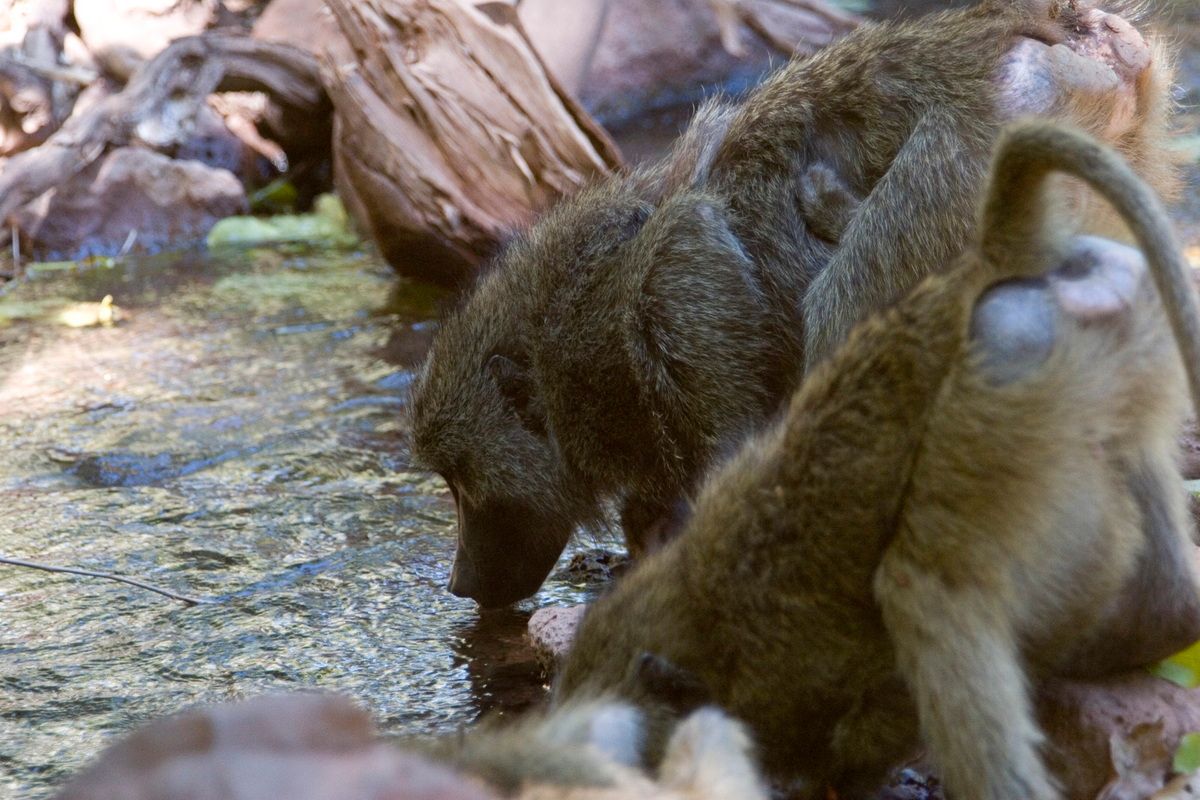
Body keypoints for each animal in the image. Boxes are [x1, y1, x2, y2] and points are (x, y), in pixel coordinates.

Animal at [410, 0, 1180, 608]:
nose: (459, 582)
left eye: (462, 483)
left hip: (963, 166)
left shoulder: (682, 292)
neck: (588, 306)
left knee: (845, 311)